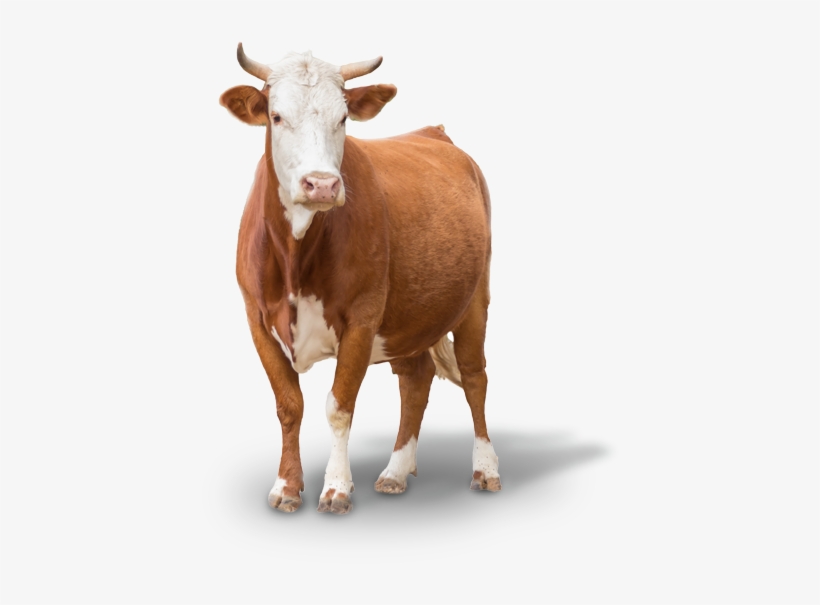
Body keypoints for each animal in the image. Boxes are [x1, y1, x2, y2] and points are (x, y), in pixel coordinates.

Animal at [220, 44, 500, 514]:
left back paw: (486, 468)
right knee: (416, 378)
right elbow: (289, 405)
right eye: (276, 116)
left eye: (343, 118)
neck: (296, 257)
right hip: (411, 313)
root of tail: (435, 132)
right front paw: (287, 487)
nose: (321, 185)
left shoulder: (362, 318)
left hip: (475, 297)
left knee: (474, 376)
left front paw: (336, 488)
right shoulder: (257, 319)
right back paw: (395, 472)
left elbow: (339, 405)